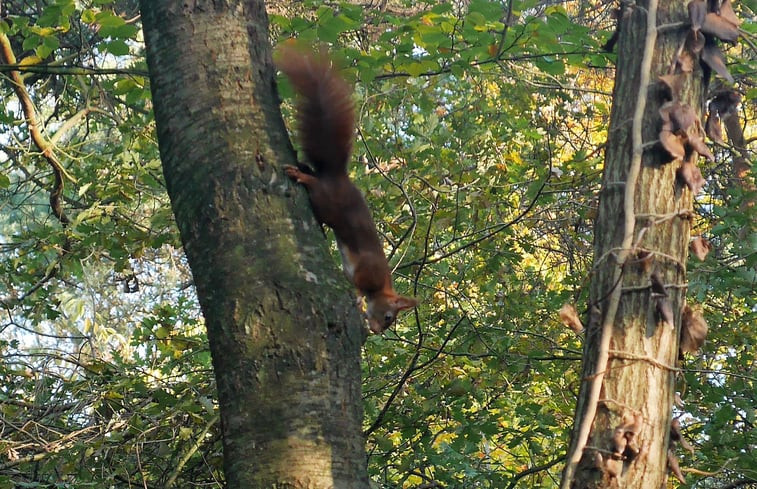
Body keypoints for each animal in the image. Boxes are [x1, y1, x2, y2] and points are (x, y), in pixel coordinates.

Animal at [280, 47, 420, 332]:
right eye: (389, 317)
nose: (376, 330)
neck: (382, 284)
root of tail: (339, 177)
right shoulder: (367, 271)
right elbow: (357, 286)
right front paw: (357, 299)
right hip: (326, 201)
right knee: (314, 187)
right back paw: (300, 175)